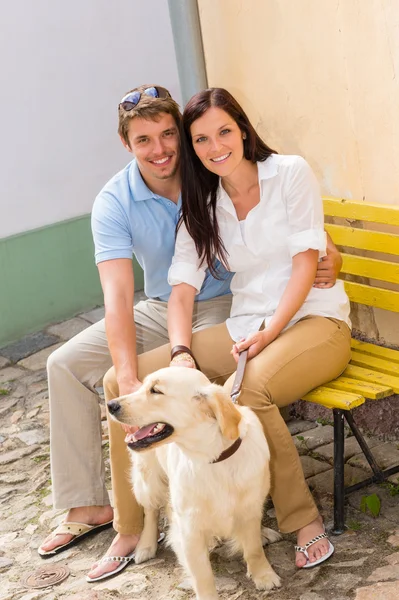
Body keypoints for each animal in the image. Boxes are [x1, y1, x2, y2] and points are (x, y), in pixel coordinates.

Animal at [108, 366, 282, 600]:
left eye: (156, 391)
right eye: (144, 387)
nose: (111, 405)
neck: (213, 457)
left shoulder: (251, 507)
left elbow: (253, 547)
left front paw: (263, 574)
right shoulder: (190, 528)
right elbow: (202, 575)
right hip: (148, 480)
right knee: (150, 511)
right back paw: (146, 546)